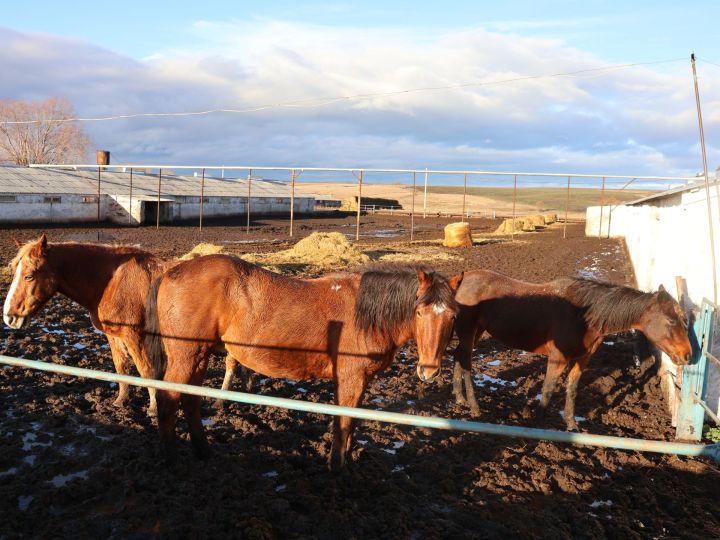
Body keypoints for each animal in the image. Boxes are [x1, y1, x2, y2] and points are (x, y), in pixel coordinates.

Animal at [4, 234, 167, 416]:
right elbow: (121, 367)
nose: (9, 318)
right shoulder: (114, 335)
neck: (114, 281)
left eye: (29, 276)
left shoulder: (135, 336)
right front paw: (121, 400)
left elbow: (146, 370)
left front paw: (153, 408)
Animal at [145, 258, 466, 468]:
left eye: (453, 315)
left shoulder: (361, 380)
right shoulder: (350, 378)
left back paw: (204, 451)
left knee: (191, 400)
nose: (428, 370)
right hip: (186, 356)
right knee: (168, 399)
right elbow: (344, 421)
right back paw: (171, 459)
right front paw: (337, 466)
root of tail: (171, 271)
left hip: (199, 355)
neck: (366, 313)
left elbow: (352, 421)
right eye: (419, 312)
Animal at [452, 270, 696, 430]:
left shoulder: (582, 360)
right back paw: (473, 406)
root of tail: (461, 280)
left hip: (476, 332)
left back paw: (460, 399)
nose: (688, 355)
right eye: (671, 321)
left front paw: (571, 424)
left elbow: (572, 389)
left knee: (458, 358)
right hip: (469, 332)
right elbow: (548, 391)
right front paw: (536, 423)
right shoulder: (557, 359)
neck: (583, 315)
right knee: (466, 363)